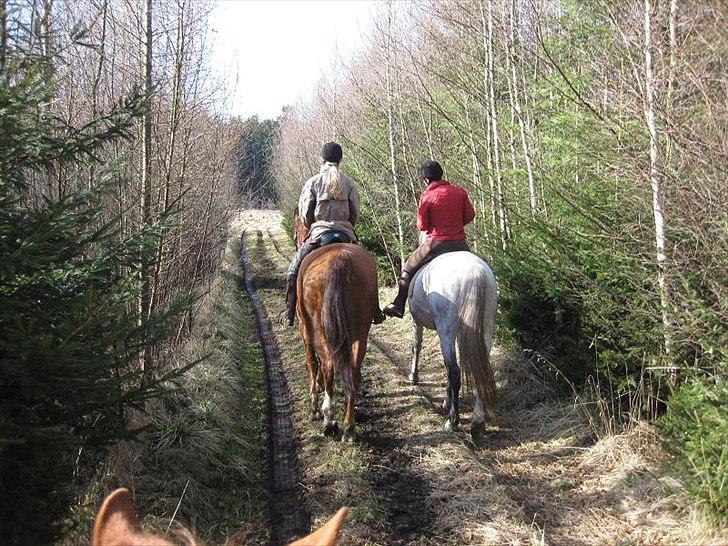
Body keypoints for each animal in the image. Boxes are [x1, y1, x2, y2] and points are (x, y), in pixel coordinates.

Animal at [292, 210, 378, 440]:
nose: (296, 239)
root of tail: (340, 260)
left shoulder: (306, 333)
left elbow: (312, 363)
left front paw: (314, 404)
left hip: (318, 329)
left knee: (327, 363)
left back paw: (328, 419)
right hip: (360, 330)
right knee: (353, 371)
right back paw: (349, 427)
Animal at [406, 246, 498, 438]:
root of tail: (474, 273)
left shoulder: (416, 322)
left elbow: (416, 346)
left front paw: (414, 376)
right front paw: (446, 402)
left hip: (446, 331)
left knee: (454, 372)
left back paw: (452, 421)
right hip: (485, 332)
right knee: (480, 371)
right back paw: (477, 423)